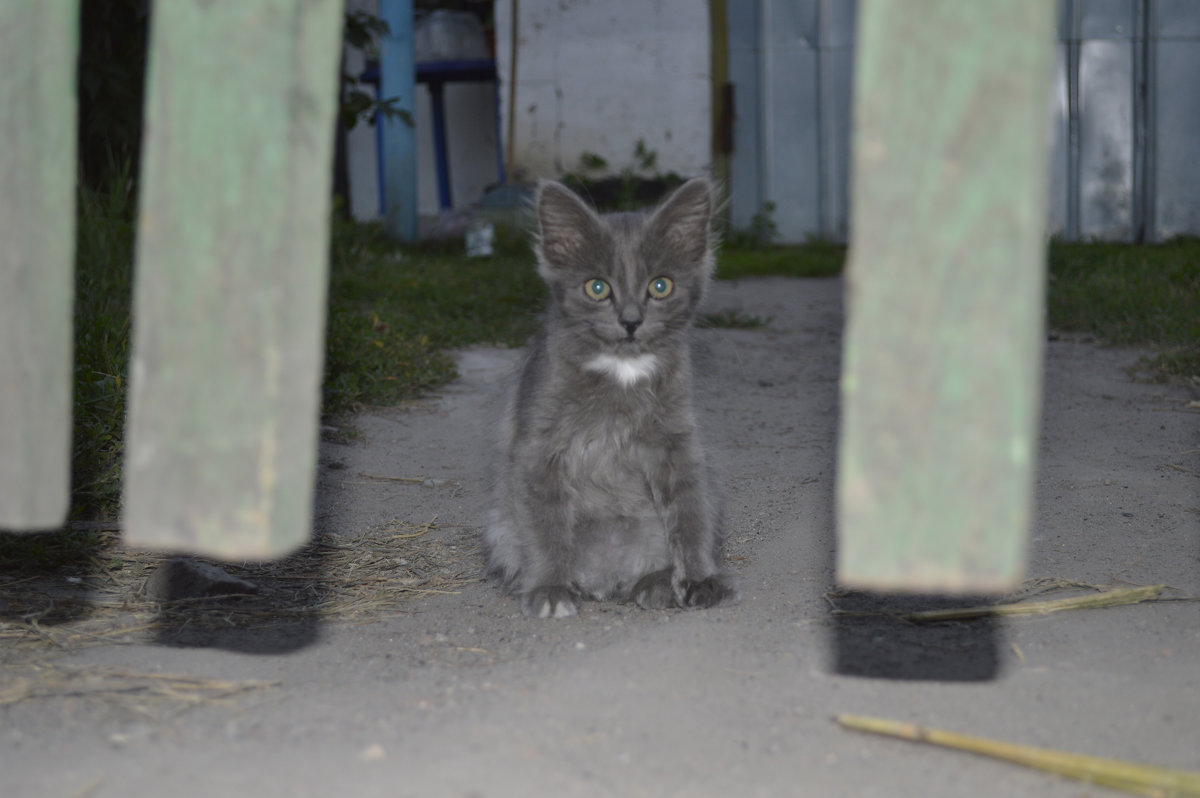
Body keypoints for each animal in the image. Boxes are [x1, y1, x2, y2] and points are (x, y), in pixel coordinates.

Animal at [484, 178, 729, 614]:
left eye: (660, 286)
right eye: (597, 288)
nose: (631, 321)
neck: (622, 373)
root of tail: (605, 578)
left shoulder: (678, 443)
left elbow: (690, 514)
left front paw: (699, 579)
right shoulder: (538, 448)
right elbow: (546, 526)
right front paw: (550, 589)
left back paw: (657, 582)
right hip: (501, 524)